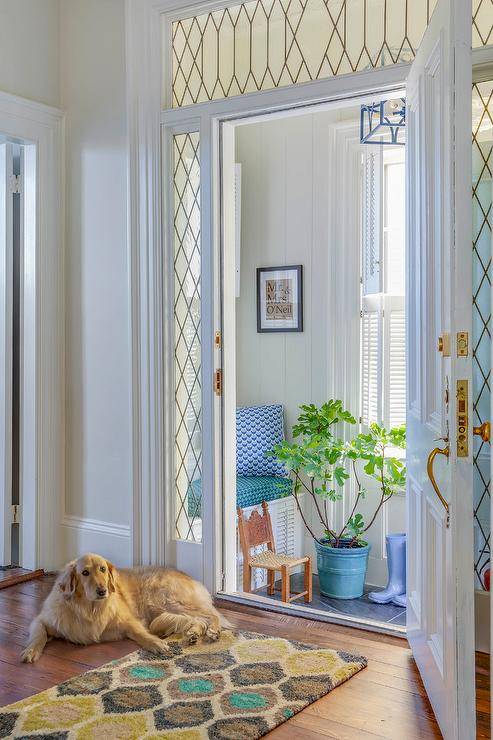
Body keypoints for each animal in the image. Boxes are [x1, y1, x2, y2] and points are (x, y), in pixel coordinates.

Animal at [19, 552, 227, 660]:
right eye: (85, 572)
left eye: (103, 569)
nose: (102, 590)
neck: (90, 609)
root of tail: (189, 577)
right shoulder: (43, 620)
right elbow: (39, 635)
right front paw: (30, 651)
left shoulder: (129, 620)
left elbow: (140, 633)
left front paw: (156, 643)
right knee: (200, 618)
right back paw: (193, 634)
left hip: (163, 601)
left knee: (212, 615)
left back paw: (212, 631)